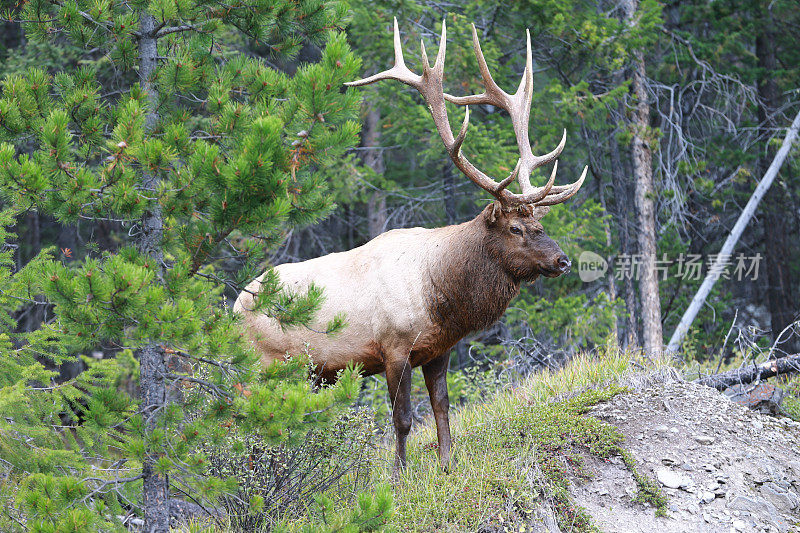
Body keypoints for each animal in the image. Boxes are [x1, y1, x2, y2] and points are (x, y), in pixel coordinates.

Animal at [233, 19, 588, 474]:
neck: (442, 295)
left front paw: (447, 464)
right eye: (515, 228)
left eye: (540, 223)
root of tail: (233, 305)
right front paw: (399, 474)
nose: (561, 261)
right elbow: (402, 419)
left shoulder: (439, 350)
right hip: (259, 365)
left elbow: (442, 408)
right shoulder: (393, 347)